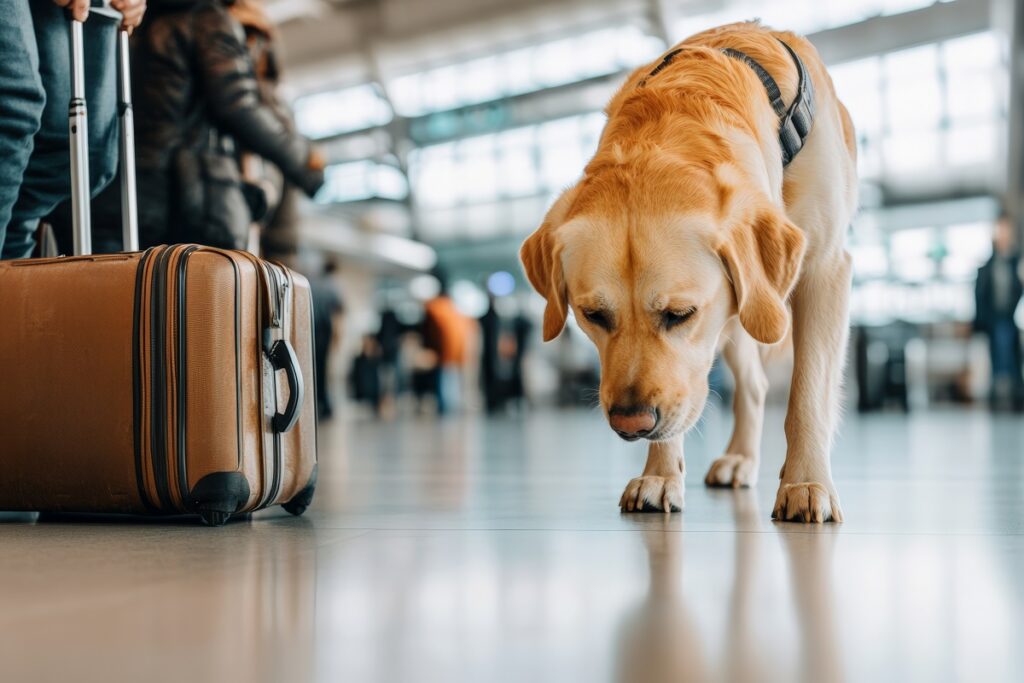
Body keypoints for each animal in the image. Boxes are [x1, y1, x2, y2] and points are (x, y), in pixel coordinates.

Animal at [520, 22, 856, 524]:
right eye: (592, 316)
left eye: (680, 314)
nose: (630, 423)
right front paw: (660, 476)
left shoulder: (825, 270)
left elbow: (808, 393)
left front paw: (805, 483)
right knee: (752, 384)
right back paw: (739, 457)